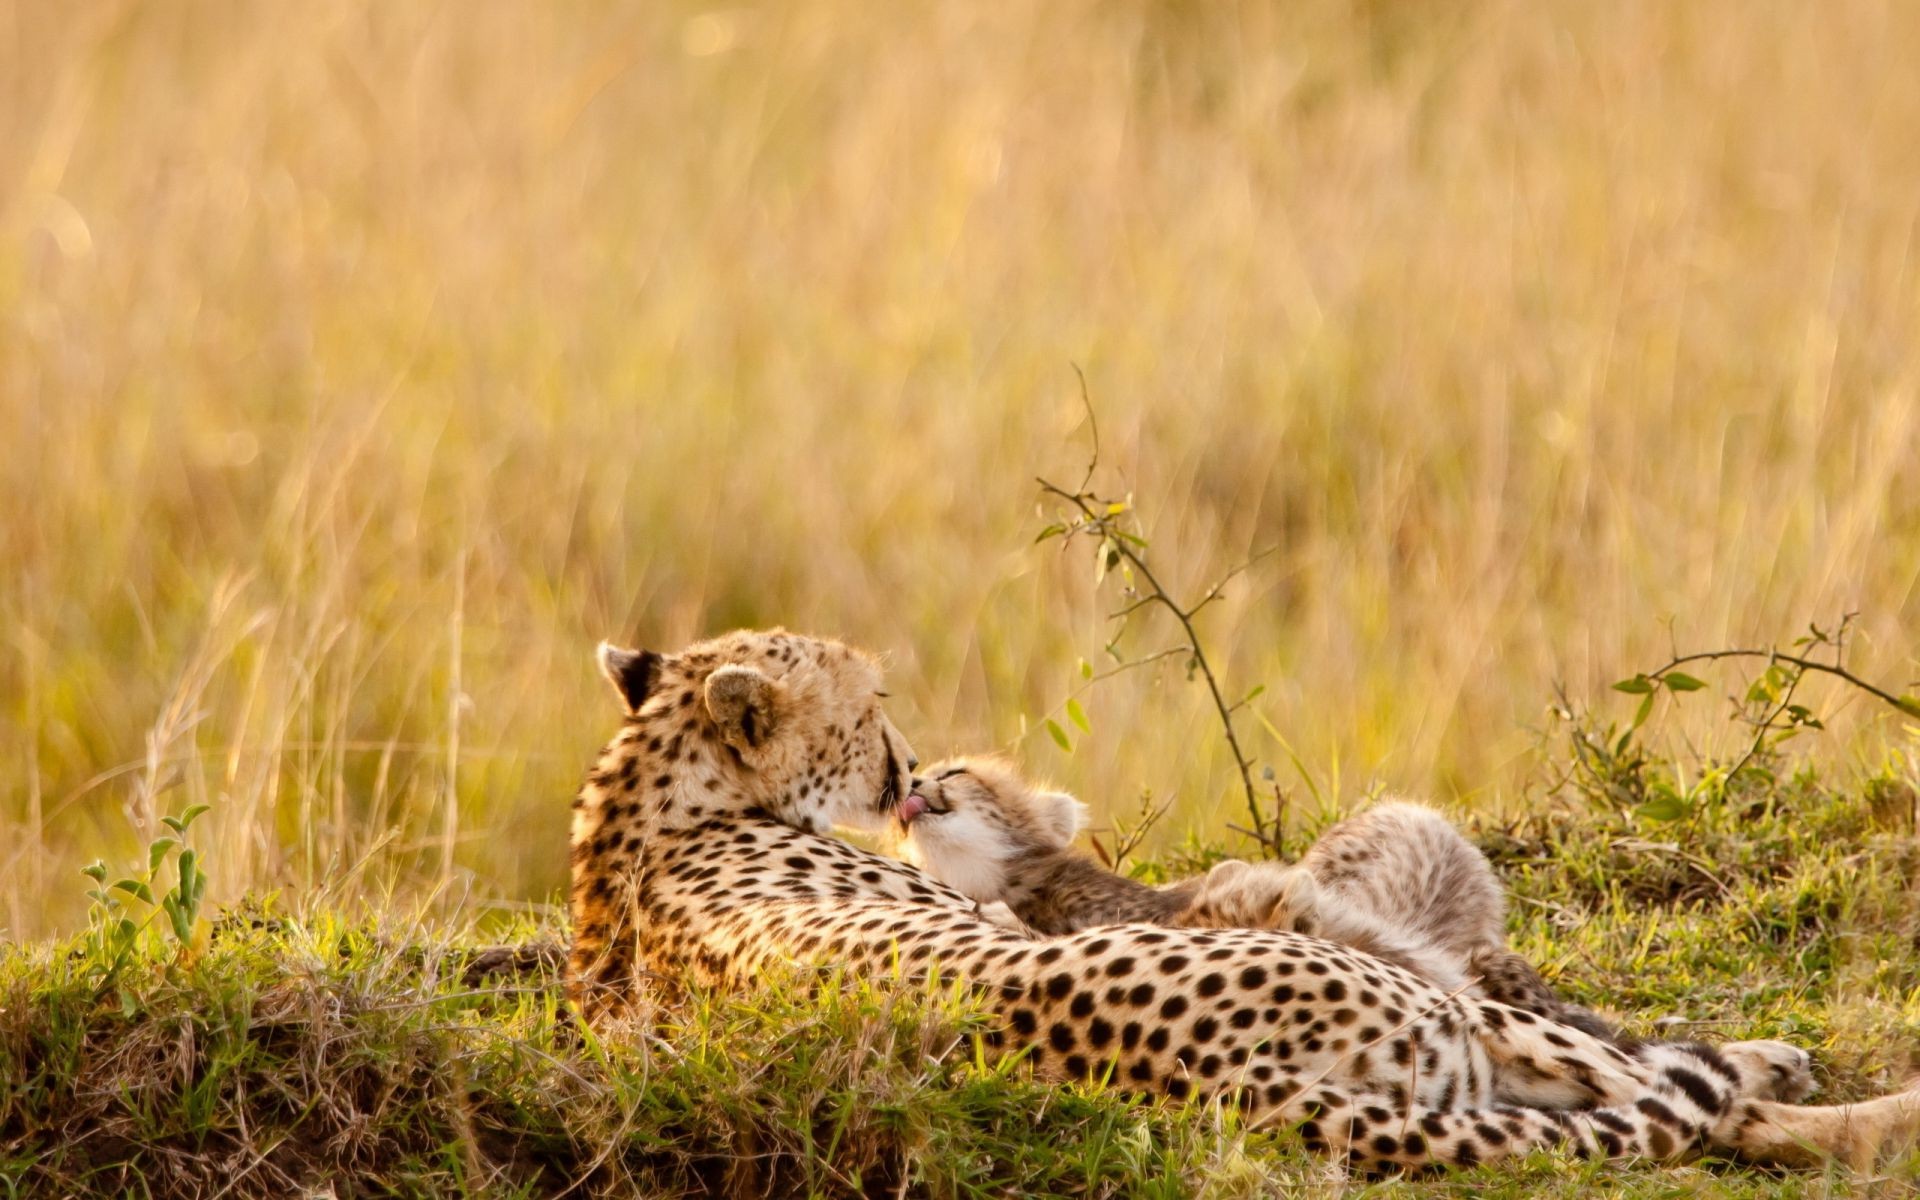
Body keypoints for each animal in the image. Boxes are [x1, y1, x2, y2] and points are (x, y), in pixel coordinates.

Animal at [568, 625, 1920, 1167]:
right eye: (871, 707)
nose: (904, 769)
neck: (649, 799)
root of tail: (1229, 1080)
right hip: (1452, 1026)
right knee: (1697, 1105)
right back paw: (1831, 1095)